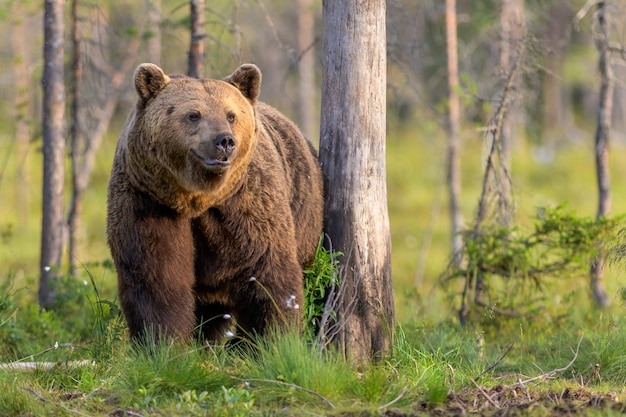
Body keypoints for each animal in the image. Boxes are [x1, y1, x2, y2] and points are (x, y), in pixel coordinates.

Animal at [105, 62, 322, 342]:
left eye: (231, 115)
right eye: (193, 115)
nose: (224, 141)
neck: (196, 199)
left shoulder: (245, 204)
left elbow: (265, 271)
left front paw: (270, 339)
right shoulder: (147, 200)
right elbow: (155, 276)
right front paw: (162, 340)